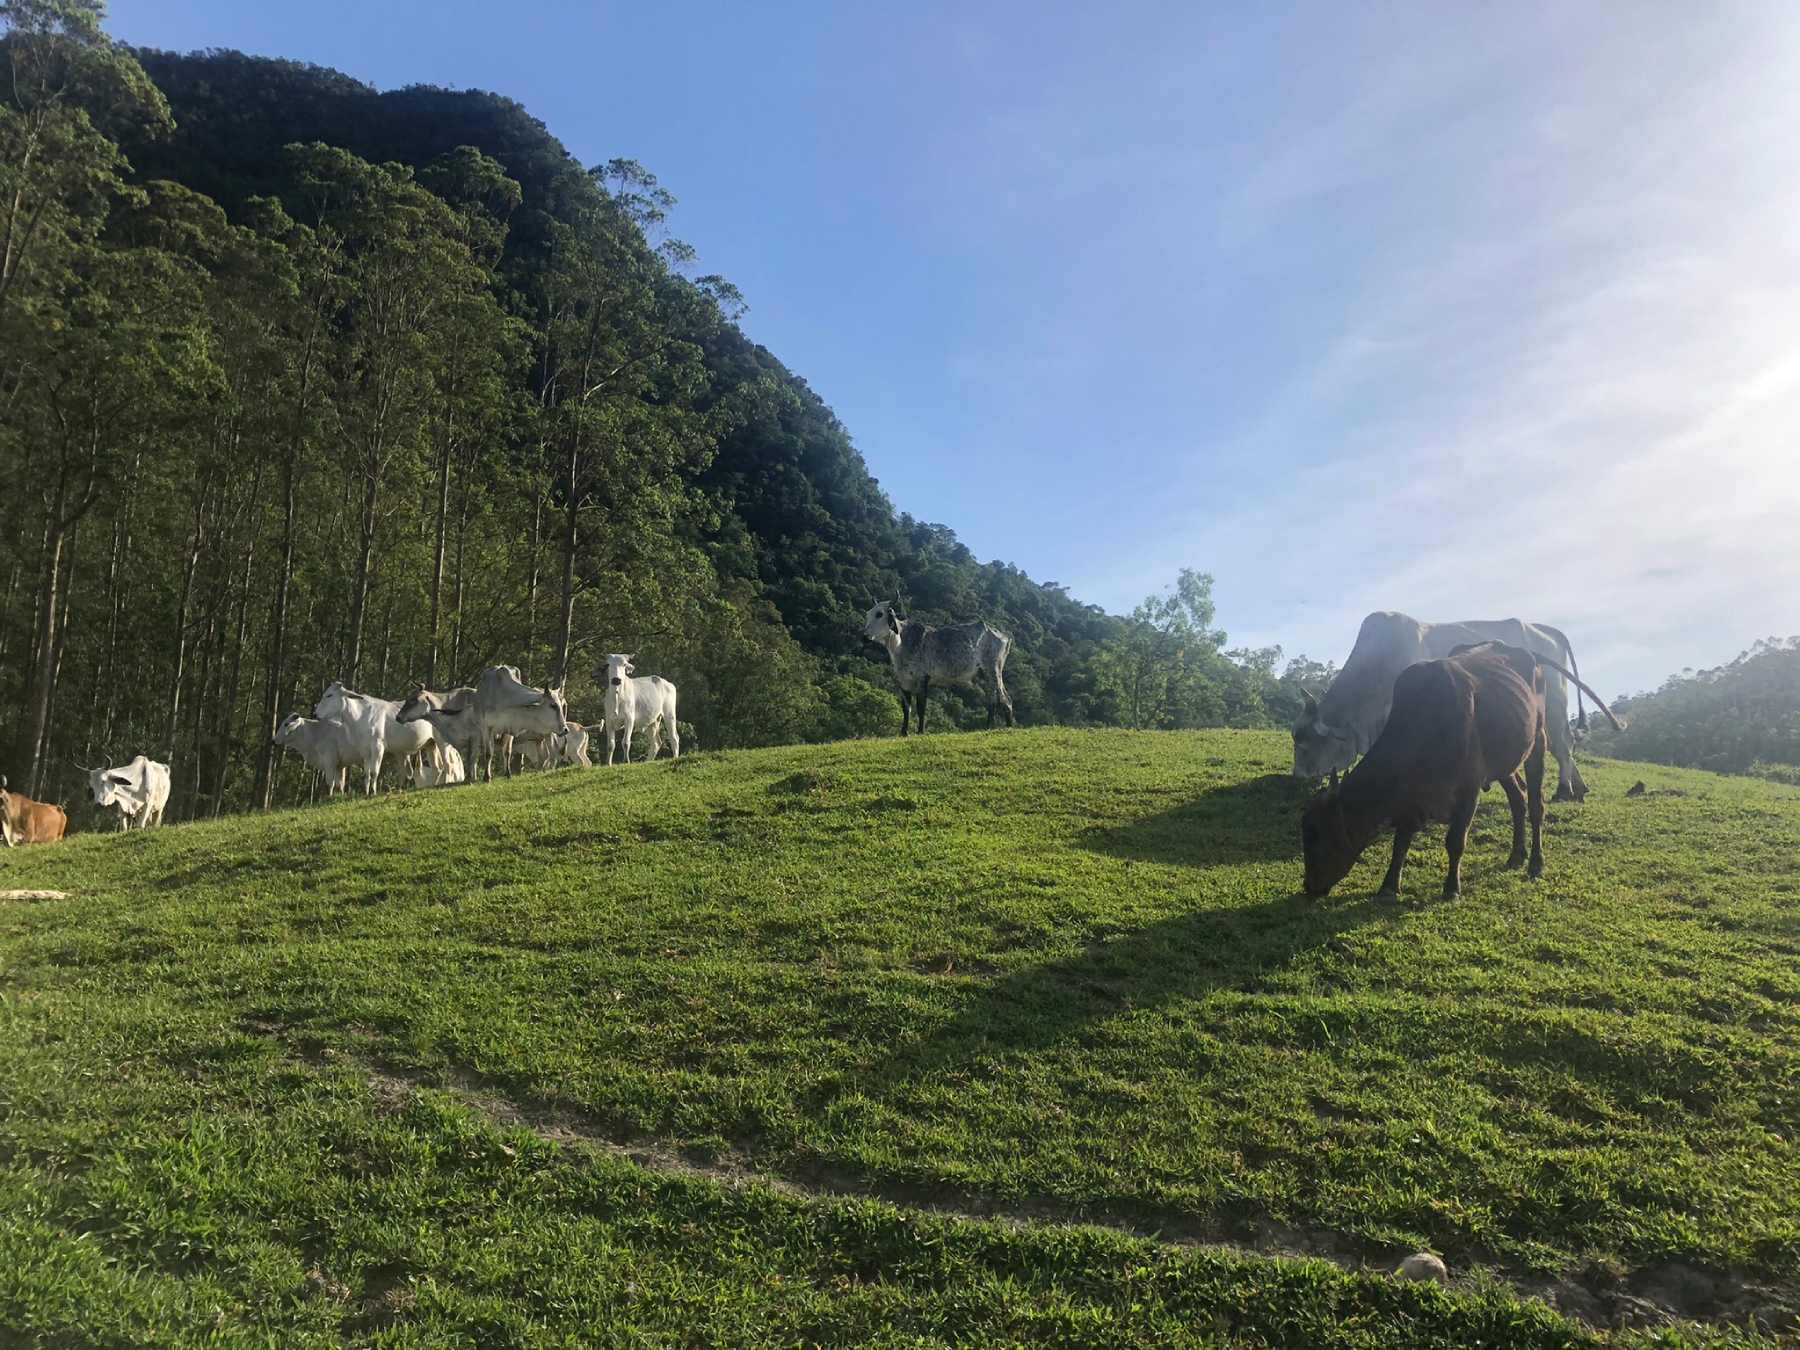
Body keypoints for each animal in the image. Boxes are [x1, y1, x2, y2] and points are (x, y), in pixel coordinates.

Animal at [860, 597, 1015, 734]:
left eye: (879, 614)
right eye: (868, 614)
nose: (864, 637)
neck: (901, 643)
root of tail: (1005, 636)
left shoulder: (923, 678)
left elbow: (921, 706)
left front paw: (920, 731)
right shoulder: (903, 681)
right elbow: (906, 708)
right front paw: (904, 732)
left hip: (993, 670)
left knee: (1004, 698)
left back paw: (1005, 727)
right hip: (983, 674)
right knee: (993, 700)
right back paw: (991, 726)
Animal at [1296, 615, 1605, 802]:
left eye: (1307, 745)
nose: (1298, 777)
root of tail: (1549, 630)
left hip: (1555, 704)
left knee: (1562, 744)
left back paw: (1564, 790)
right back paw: (1579, 788)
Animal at [1303, 640, 1627, 903]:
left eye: (1320, 836)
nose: (1309, 887)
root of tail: (1526, 653)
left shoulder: (1469, 790)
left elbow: (1455, 841)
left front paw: (1451, 888)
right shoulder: (1411, 799)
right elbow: (1401, 841)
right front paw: (1388, 887)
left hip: (1537, 744)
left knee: (1536, 805)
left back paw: (1535, 862)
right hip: (1503, 763)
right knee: (1518, 799)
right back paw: (1516, 855)